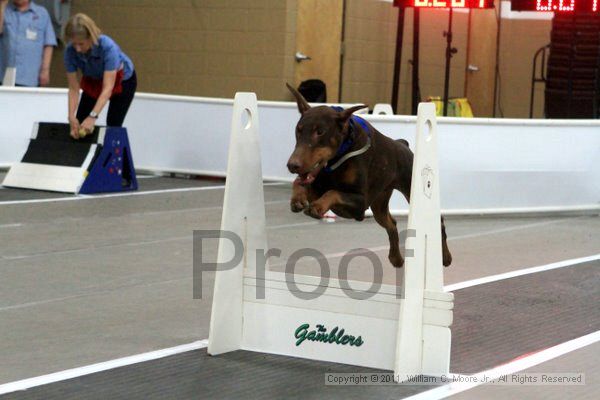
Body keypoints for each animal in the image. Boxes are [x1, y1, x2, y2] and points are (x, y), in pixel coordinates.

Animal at [284, 83, 450, 268]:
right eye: (298, 130)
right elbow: (300, 183)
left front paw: (317, 207)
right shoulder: (317, 185)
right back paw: (396, 258)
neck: (340, 155)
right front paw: (298, 199)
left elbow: (333, 192)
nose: (292, 165)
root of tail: (402, 144)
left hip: (411, 189)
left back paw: (445, 257)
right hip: (379, 205)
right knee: (391, 224)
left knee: (440, 223)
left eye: (320, 132)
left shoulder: (360, 204)